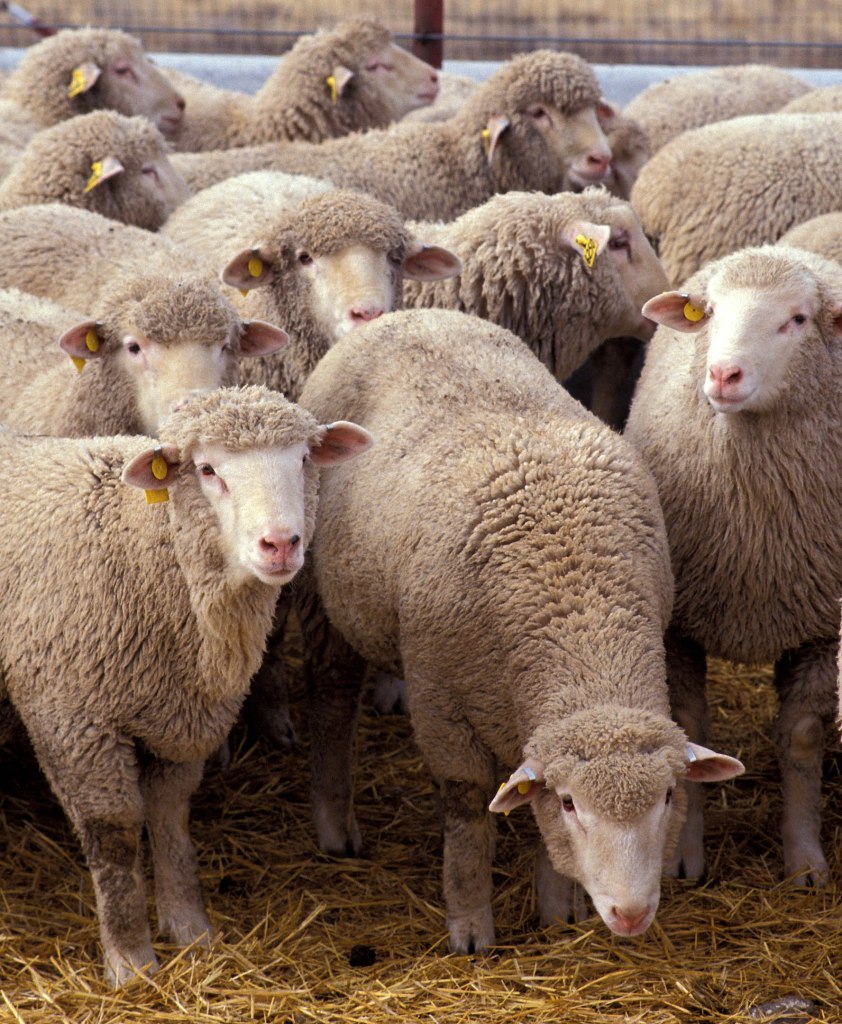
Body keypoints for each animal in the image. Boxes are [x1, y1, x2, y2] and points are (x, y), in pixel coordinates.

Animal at [0, 385, 372, 985]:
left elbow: (171, 819)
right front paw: (131, 959)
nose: (281, 544)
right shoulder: (72, 717)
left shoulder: (181, 715)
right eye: (206, 469)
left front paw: (190, 930)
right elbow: (115, 834)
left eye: (304, 460)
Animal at [296, 307, 743, 952]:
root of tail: (411, 313)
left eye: (665, 796)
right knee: (332, 699)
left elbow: (533, 818)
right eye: (572, 803)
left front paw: (558, 912)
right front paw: (470, 926)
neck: (581, 622)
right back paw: (335, 824)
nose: (630, 915)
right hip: (322, 597)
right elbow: (466, 815)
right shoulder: (442, 707)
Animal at [624, 244, 842, 888]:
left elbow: (802, 739)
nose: (723, 375)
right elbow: (689, 729)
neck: (755, 533)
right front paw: (681, 855)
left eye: (798, 319)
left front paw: (805, 860)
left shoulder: (821, 625)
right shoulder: (678, 625)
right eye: (712, 311)